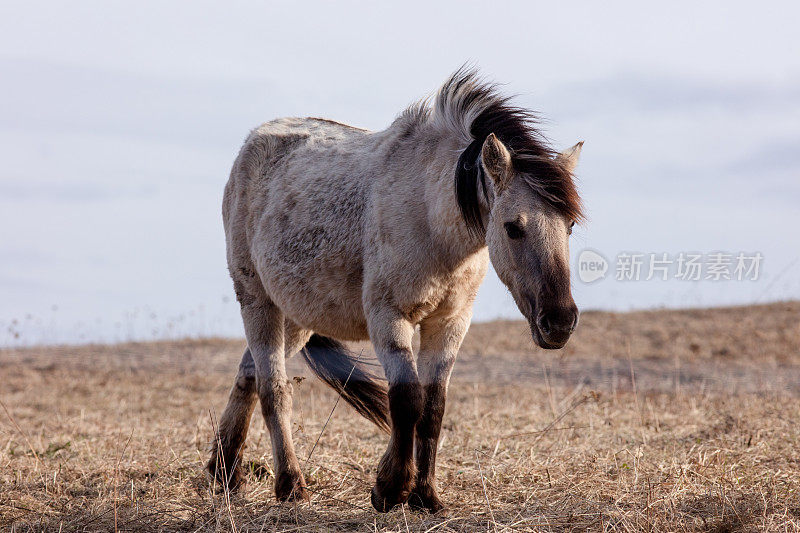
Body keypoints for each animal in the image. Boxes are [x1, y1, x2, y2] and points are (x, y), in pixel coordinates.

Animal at [206, 67, 580, 512]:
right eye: (513, 227)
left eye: (570, 225)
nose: (559, 322)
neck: (429, 215)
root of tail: (254, 141)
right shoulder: (389, 317)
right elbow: (407, 400)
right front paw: (391, 488)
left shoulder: (450, 323)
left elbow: (433, 407)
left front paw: (426, 495)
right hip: (257, 302)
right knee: (273, 389)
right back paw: (289, 484)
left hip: (295, 320)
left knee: (248, 374)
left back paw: (224, 471)